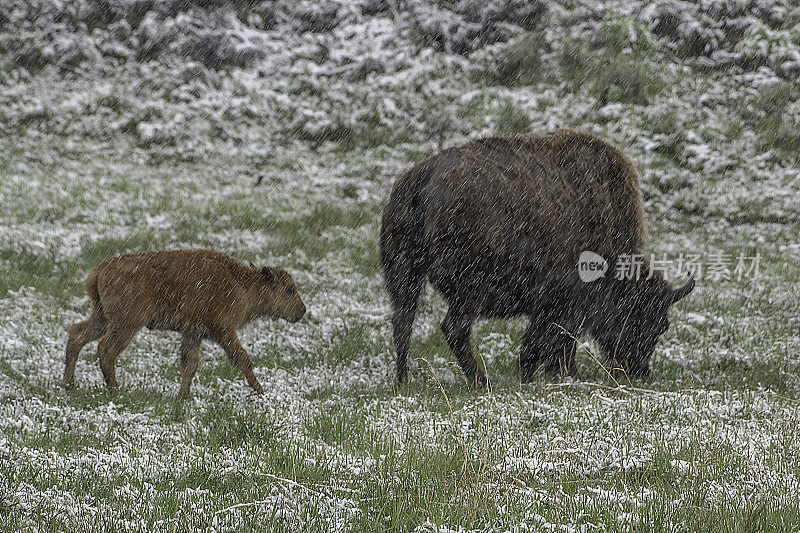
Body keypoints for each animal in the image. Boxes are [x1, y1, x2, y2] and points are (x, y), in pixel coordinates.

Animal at [62, 248, 304, 394]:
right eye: (289, 289)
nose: (302, 311)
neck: (241, 283)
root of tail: (101, 269)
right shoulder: (224, 331)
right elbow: (242, 358)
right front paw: (260, 392)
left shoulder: (193, 334)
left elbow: (190, 364)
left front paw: (183, 396)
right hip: (127, 323)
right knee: (106, 349)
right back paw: (115, 389)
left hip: (102, 317)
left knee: (77, 334)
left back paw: (68, 384)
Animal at [380, 129, 692, 386]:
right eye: (646, 319)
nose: (639, 371)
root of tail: (422, 179)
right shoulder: (562, 304)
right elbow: (551, 342)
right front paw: (558, 374)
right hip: (470, 288)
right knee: (454, 328)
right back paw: (481, 381)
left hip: (405, 274)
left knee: (402, 324)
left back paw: (403, 381)